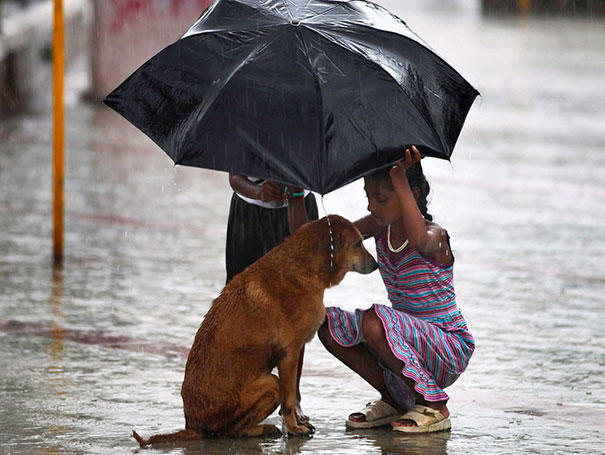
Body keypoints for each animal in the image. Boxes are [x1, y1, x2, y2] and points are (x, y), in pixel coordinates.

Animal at [134, 216, 376, 448]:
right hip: (270, 384)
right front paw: (294, 428)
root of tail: (191, 426)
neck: (303, 266)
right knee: (227, 432)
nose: (375, 264)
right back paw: (261, 429)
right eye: (358, 244)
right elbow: (289, 401)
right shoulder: (289, 354)